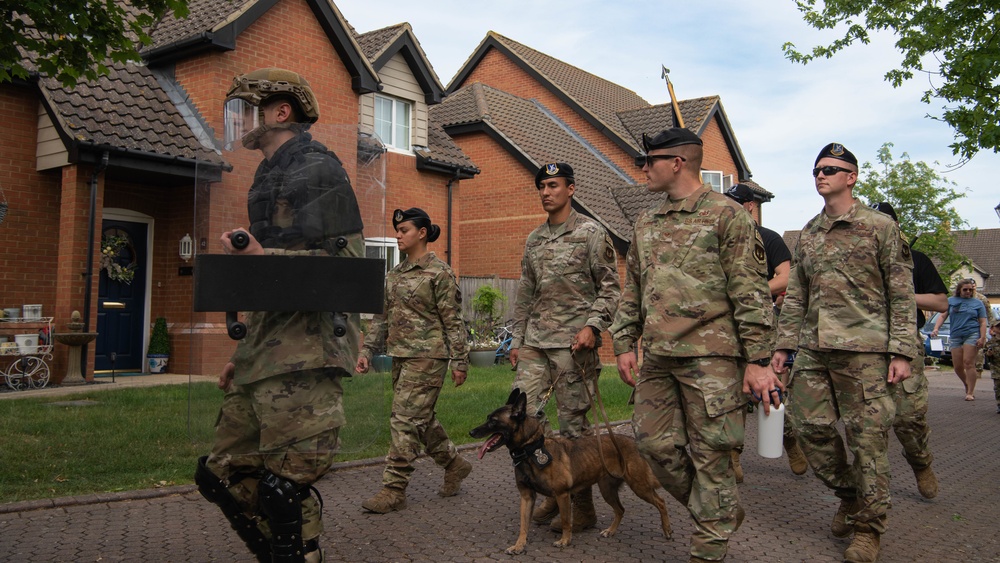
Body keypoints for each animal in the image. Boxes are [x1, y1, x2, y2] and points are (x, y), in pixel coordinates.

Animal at [468, 390, 672, 552]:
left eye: (493, 421)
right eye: (488, 418)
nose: (470, 432)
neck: (531, 450)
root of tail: (633, 442)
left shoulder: (562, 495)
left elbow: (566, 521)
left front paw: (565, 540)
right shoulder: (526, 497)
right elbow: (523, 525)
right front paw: (519, 545)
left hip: (639, 486)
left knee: (661, 502)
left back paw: (667, 530)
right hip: (607, 490)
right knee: (621, 510)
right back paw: (611, 531)